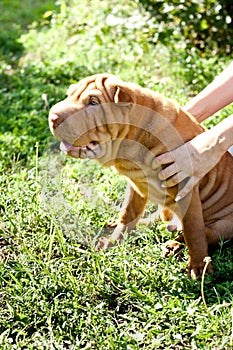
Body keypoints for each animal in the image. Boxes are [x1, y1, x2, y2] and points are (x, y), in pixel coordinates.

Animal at [47, 72, 233, 278]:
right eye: (69, 95)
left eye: (93, 102)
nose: (52, 117)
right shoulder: (136, 185)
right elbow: (128, 214)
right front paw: (113, 241)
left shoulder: (185, 186)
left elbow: (193, 231)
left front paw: (199, 267)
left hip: (223, 225)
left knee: (198, 233)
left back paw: (174, 246)